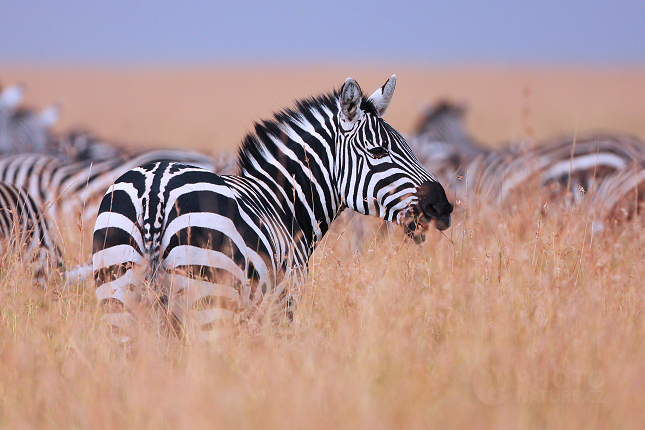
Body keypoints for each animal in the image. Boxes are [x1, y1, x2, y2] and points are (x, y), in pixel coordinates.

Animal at [92, 75, 452, 340]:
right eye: (378, 152)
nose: (442, 206)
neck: (282, 204)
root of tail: (156, 190)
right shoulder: (283, 303)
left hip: (119, 302)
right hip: (210, 303)